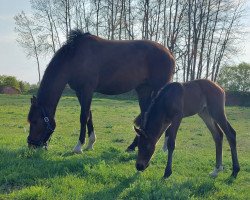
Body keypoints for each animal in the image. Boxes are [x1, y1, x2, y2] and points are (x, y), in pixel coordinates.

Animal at [27, 29, 175, 153]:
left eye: (34, 121)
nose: (31, 144)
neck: (75, 58)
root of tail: (169, 54)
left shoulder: (87, 90)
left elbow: (83, 117)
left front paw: (78, 146)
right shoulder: (80, 92)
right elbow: (89, 115)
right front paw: (90, 144)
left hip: (158, 89)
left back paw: (165, 148)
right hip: (143, 90)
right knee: (145, 115)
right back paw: (133, 146)